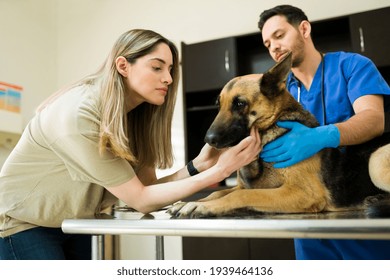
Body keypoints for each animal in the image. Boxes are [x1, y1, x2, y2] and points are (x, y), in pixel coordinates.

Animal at [170, 53, 390, 219]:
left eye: (240, 104)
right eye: (218, 104)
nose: (208, 140)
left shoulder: (302, 192)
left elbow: (243, 195)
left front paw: (203, 206)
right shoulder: (242, 186)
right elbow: (219, 191)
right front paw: (190, 202)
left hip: (375, 161)